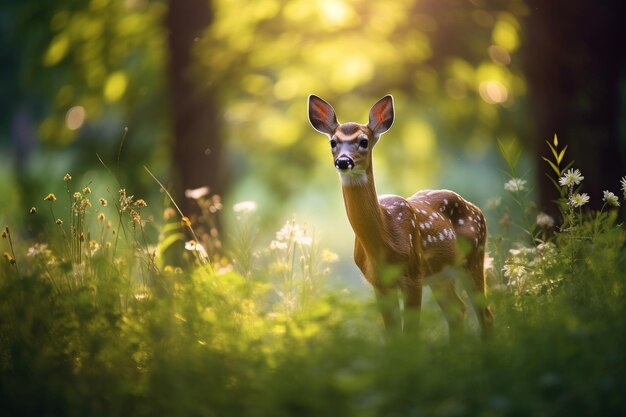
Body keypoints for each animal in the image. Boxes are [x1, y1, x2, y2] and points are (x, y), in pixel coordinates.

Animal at [308, 94, 492, 338]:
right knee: (457, 310)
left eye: (364, 141)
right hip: (441, 275)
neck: (385, 241)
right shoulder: (379, 283)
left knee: (485, 315)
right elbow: (394, 337)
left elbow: (411, 335)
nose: (343, 161)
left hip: (473, 259)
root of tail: (478, 210)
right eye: (333, 142)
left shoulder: (413, 274)